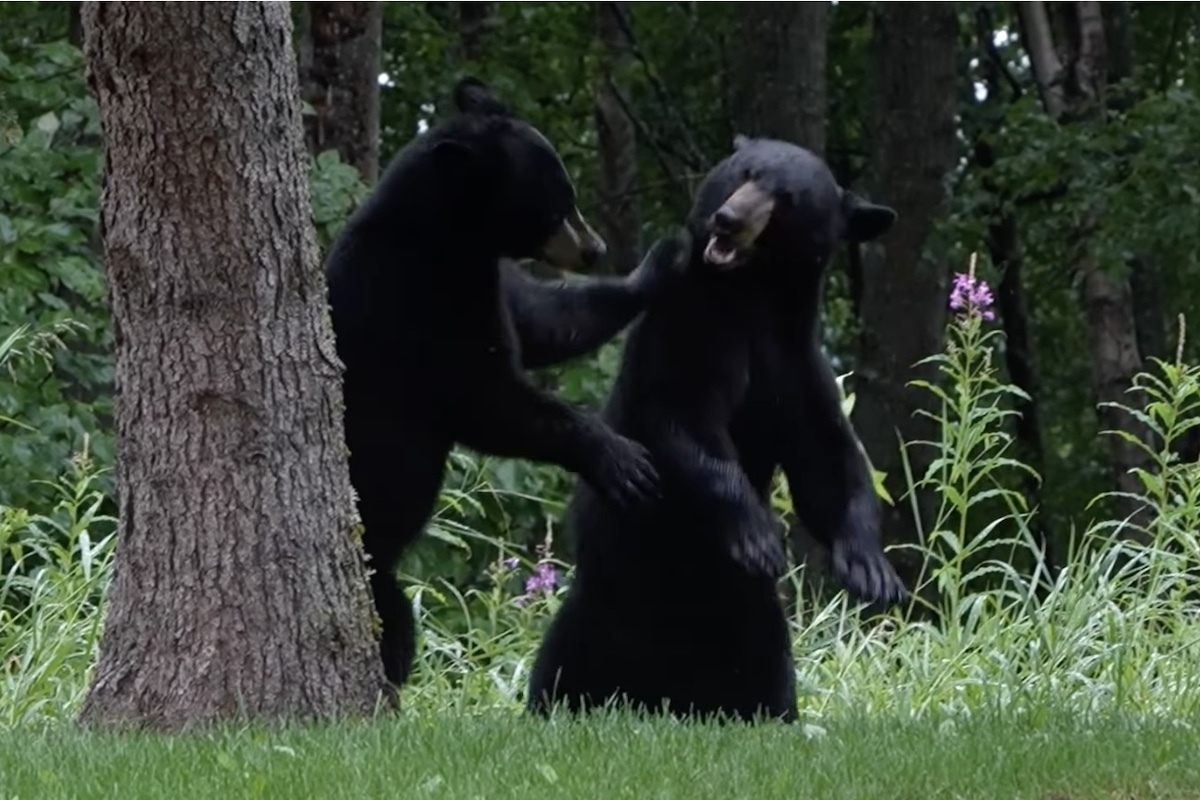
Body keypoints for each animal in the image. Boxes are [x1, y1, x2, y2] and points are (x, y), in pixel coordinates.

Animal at [324, 76, 690, 690]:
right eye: (555, 206)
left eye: (569, 195)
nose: (594, 248)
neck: (445, 244)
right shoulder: (404, 306)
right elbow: (486, 400)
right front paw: (620, 460)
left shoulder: (488, 283)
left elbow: (547, 320)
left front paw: (663, 261)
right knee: (393, 618)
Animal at [525, 136, 907, 724]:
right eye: (744, 173)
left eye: (788, 199)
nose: (727, 220)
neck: (749, 299)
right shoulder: (688, 335)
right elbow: (685, 425)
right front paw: (756, 535)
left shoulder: (795, 366)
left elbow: (826, 463)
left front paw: (870, 568)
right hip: (601, 601)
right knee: (562, 665)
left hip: (753, 622)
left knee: (769, 672)